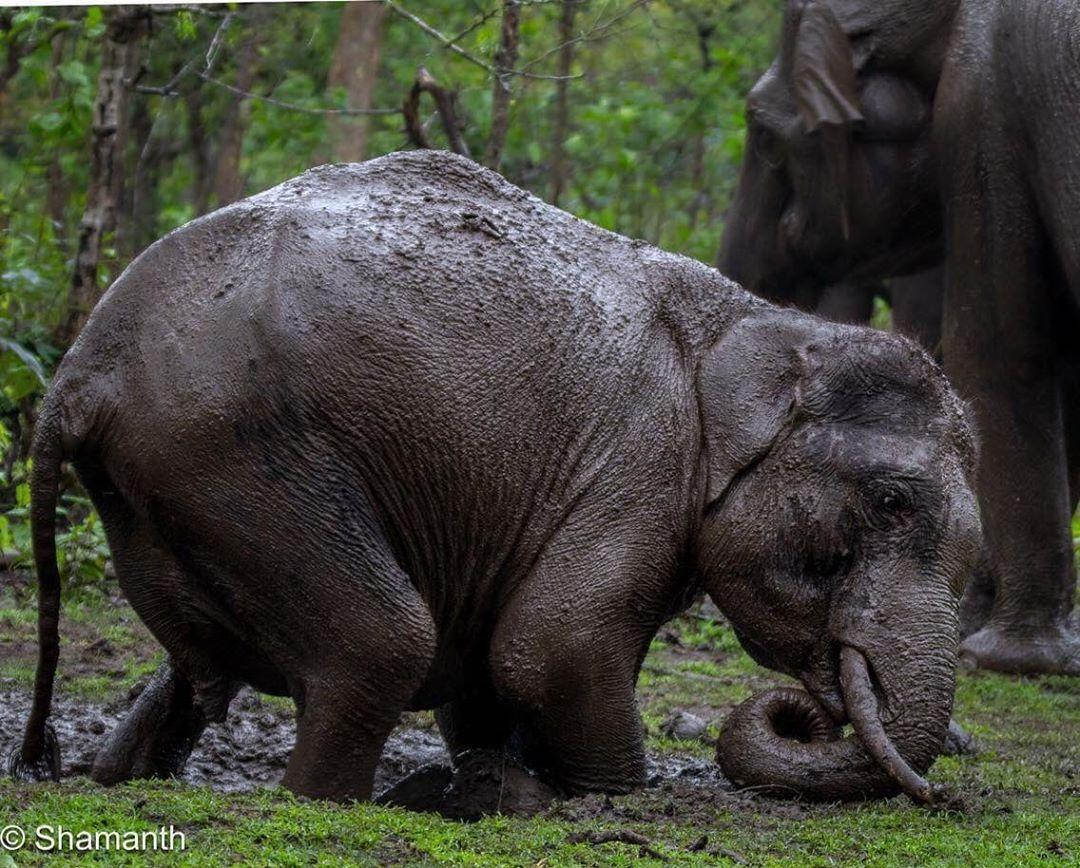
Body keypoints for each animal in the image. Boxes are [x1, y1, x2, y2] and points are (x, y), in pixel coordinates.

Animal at [9, 150, 980, 806]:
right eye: (890, 504)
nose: (943, 791)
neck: (761, 322)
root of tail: (76, 375)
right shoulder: (643, 459)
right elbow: (551, 647)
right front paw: (603, 796)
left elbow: (490, 667)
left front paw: (498, 780)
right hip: (240, 454)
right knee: (383, 644)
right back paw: (324, 800)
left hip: (165, 485)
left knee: (200, 664)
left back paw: (120, 777)